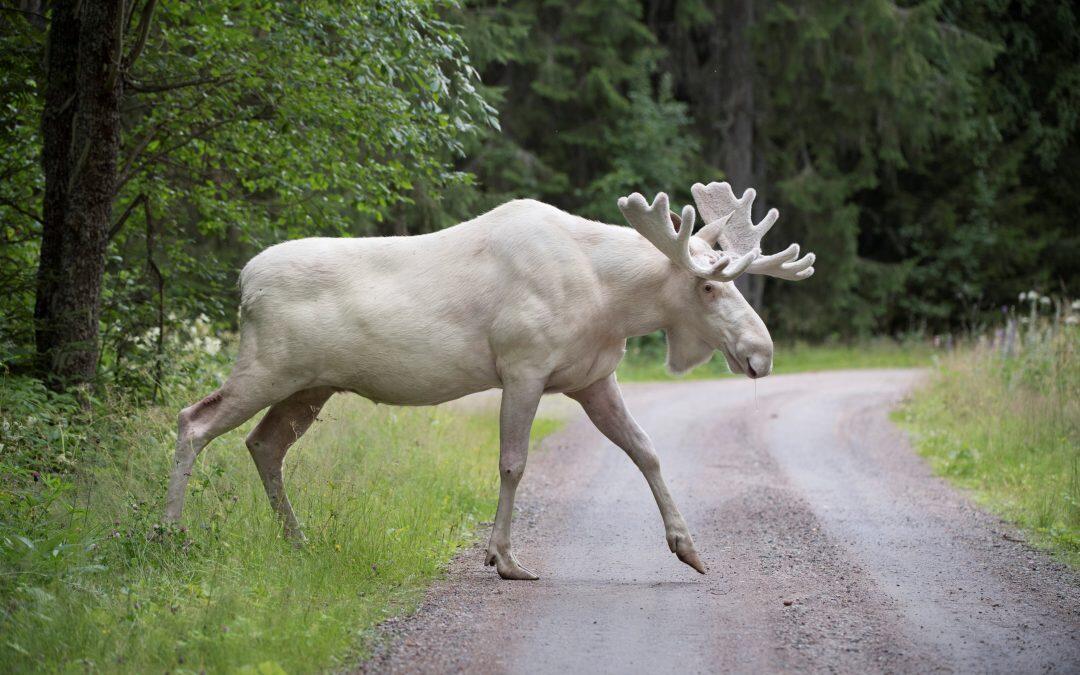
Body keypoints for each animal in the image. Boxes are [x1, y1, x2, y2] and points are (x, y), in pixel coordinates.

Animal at [164, 180, 812, 578]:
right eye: (707, 285)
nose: (762, 353)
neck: (610, 300)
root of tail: (243, 282)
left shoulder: (593, 378)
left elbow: (647, 450)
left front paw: (689, 548)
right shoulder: (523, 365)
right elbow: (513, 463)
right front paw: (503, 558)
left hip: (309, 386)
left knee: (263, 444)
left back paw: (296, 540)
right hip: (268, 367)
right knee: (193, 420)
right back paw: (170, 534)